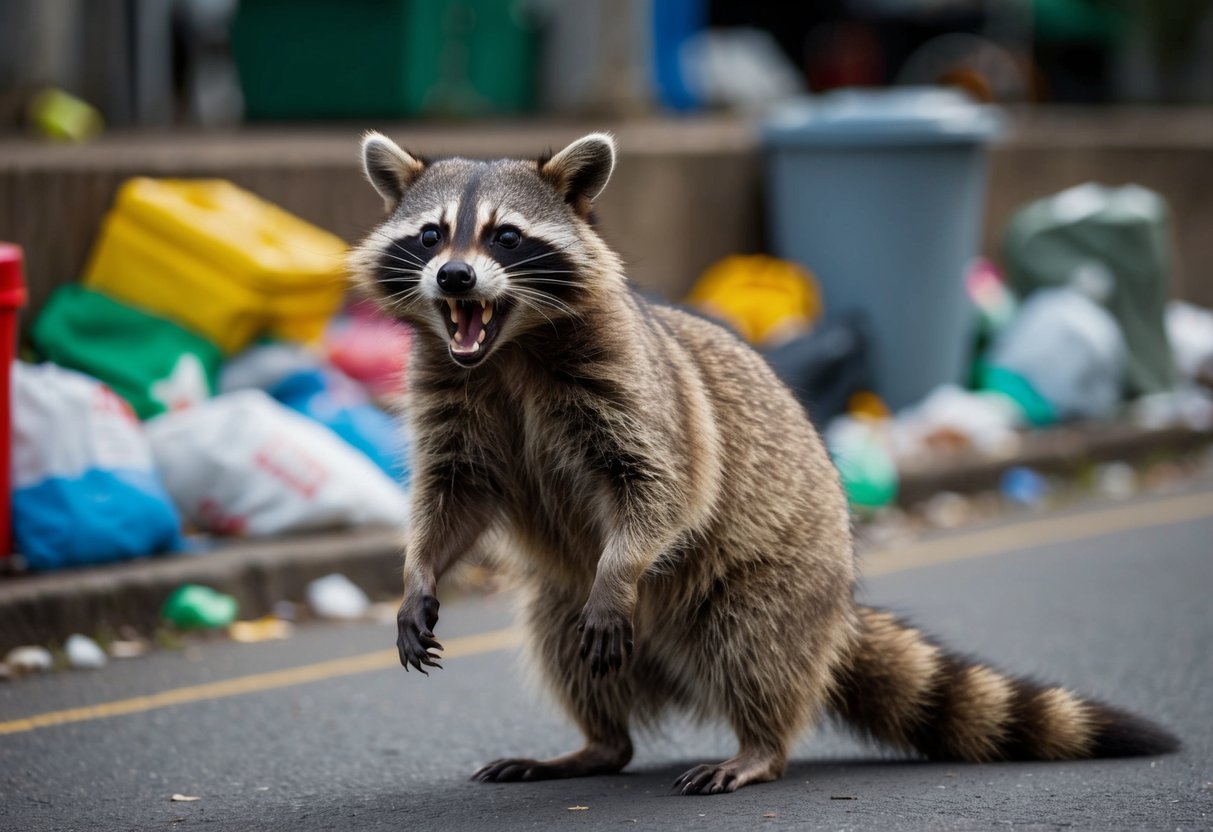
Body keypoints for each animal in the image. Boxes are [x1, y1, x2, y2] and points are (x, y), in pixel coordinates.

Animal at [348, 131, 1179, 795]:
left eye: (506, 237)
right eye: (431, 235)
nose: (455, 279)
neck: (507, 348)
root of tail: (837, 609)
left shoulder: (637, 393)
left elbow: (661, 488)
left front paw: (619, 569)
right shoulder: (453, 400)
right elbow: (453, 498)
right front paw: (419, 574)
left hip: (774, 579)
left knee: (754, 650)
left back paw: (758, 745)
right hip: (563, 595)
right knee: (562, 646)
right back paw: (598, 743)